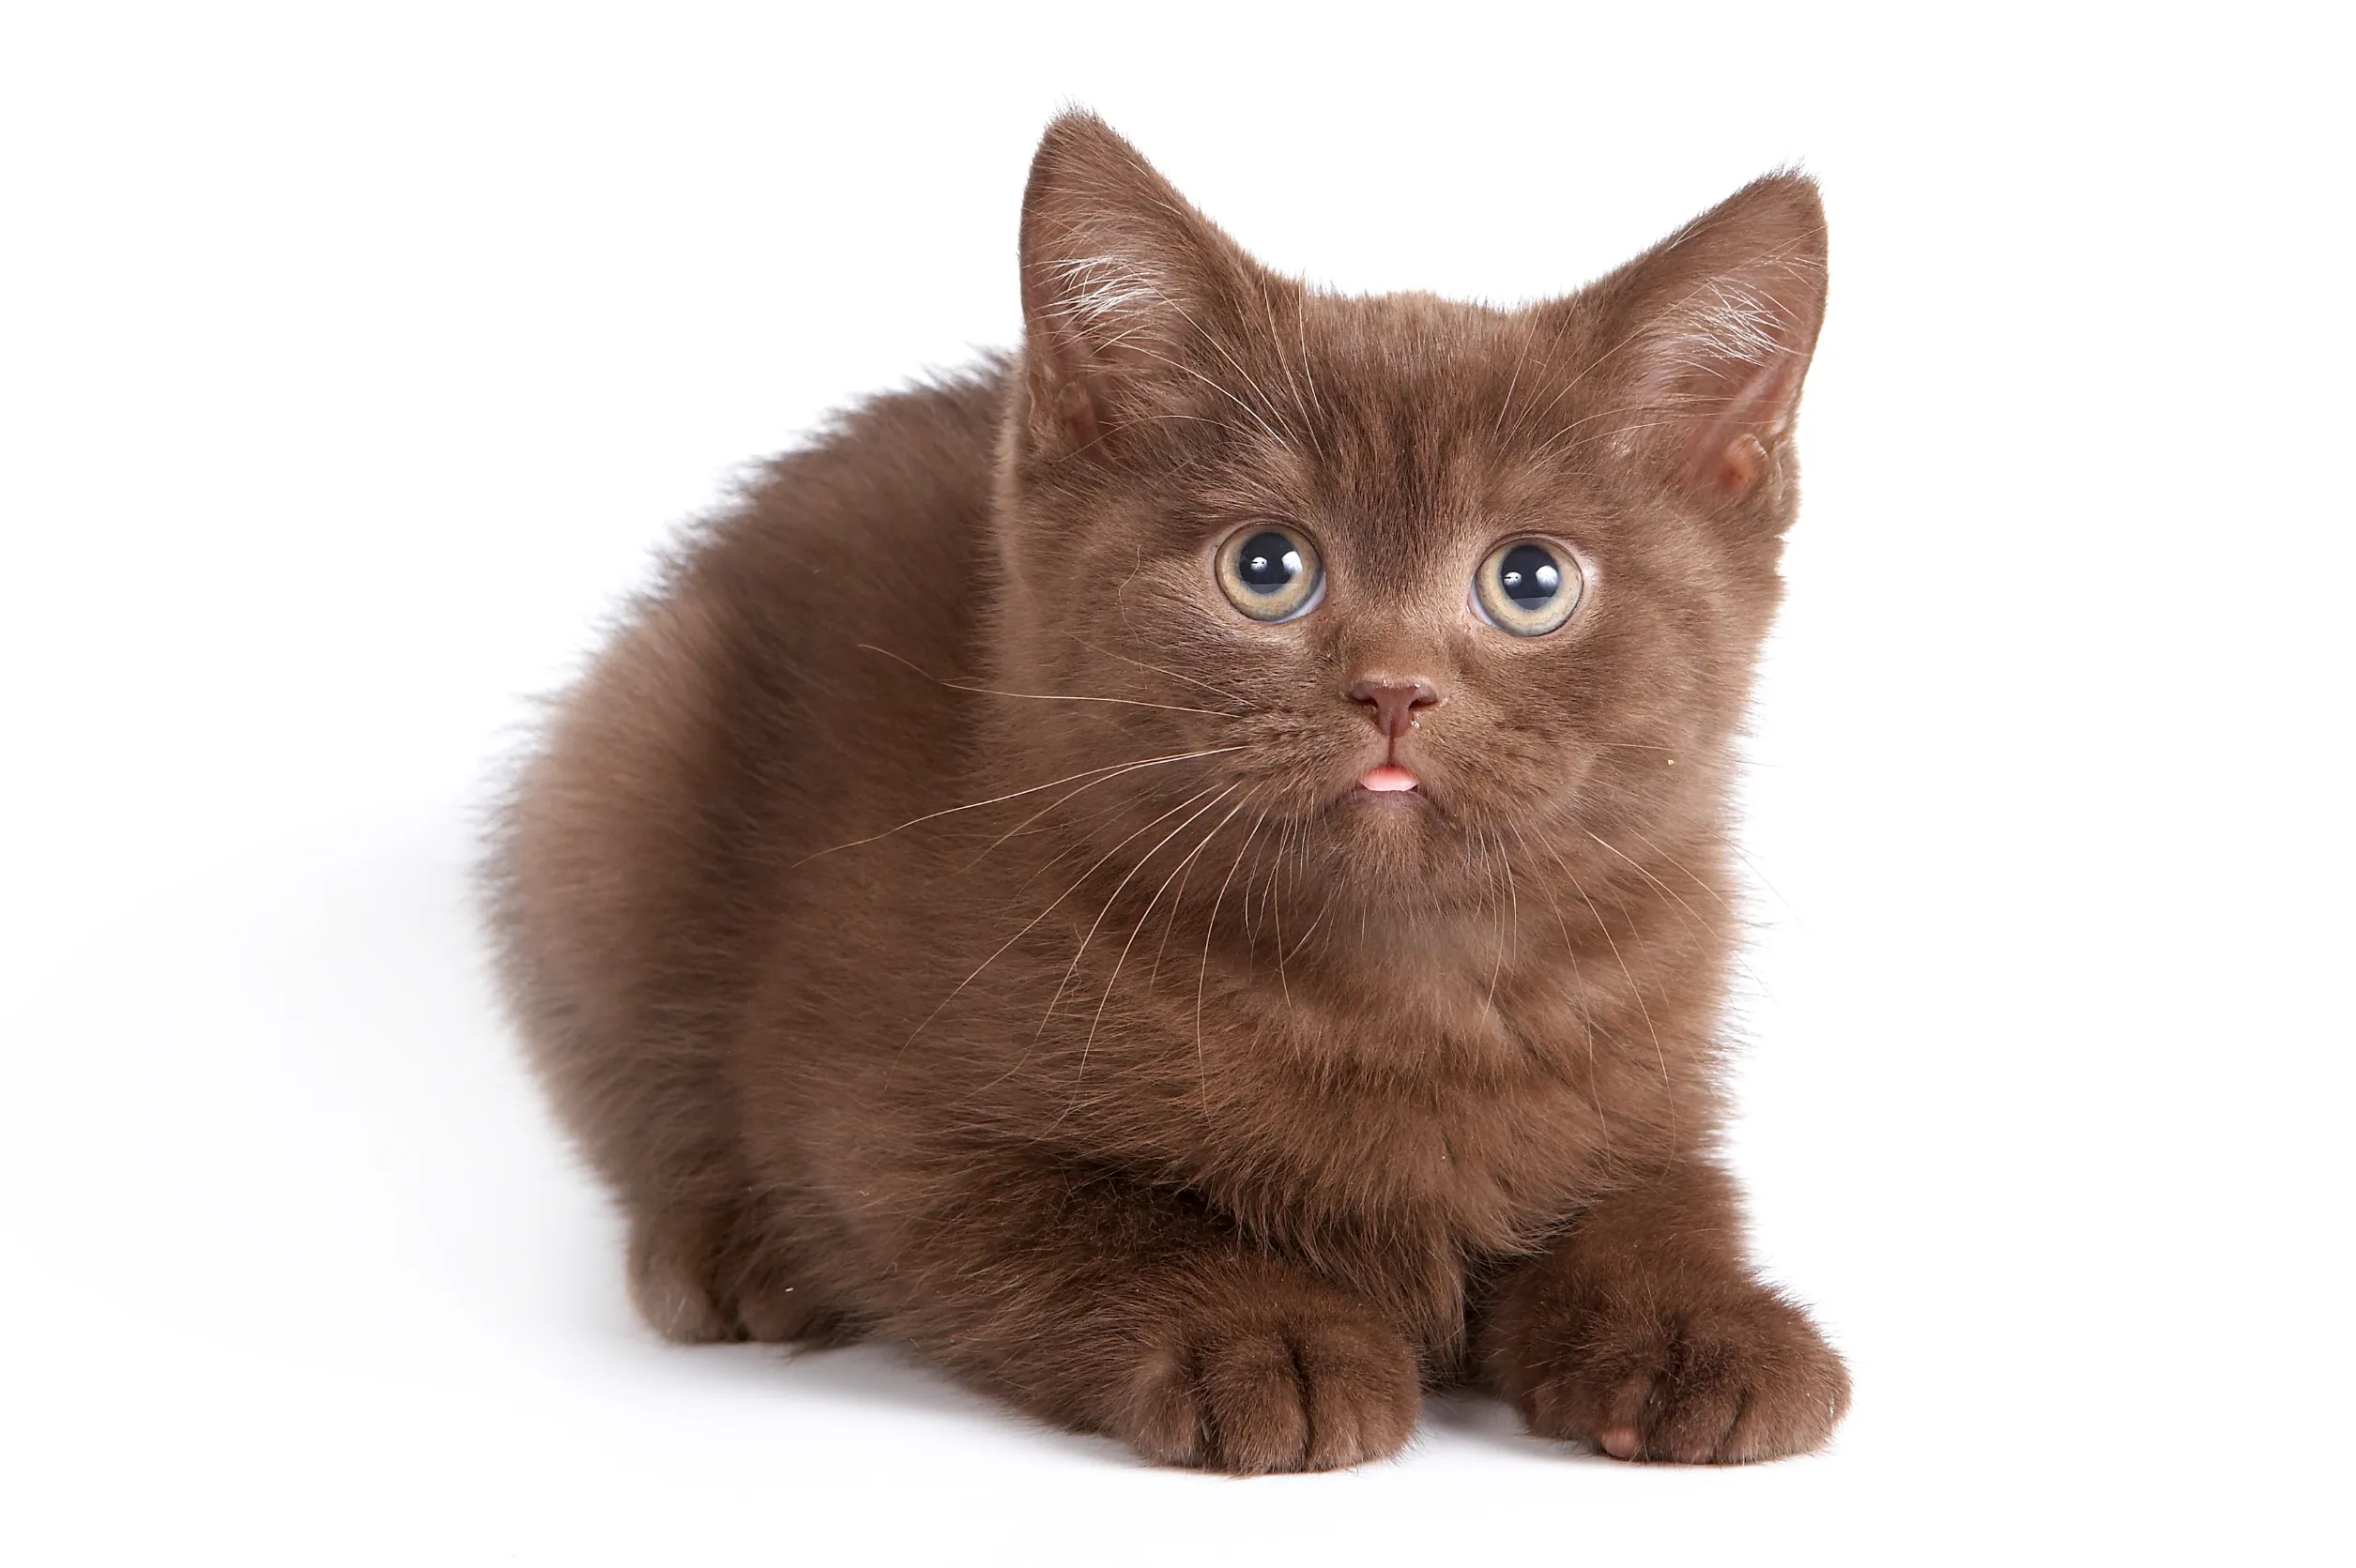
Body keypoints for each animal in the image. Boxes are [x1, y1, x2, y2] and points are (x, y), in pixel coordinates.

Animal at [487, 110, 1846, 1469]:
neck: (1397, 986)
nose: (1394, 689)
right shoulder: (878, 1122)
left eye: (1529, 580)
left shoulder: (1651, 1070)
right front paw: (1269, 1343)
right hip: (620, 768)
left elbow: (1659, 1203)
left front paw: (1700, 1328)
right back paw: (726, 1254)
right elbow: (1097, 1226)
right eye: (1266, 566)